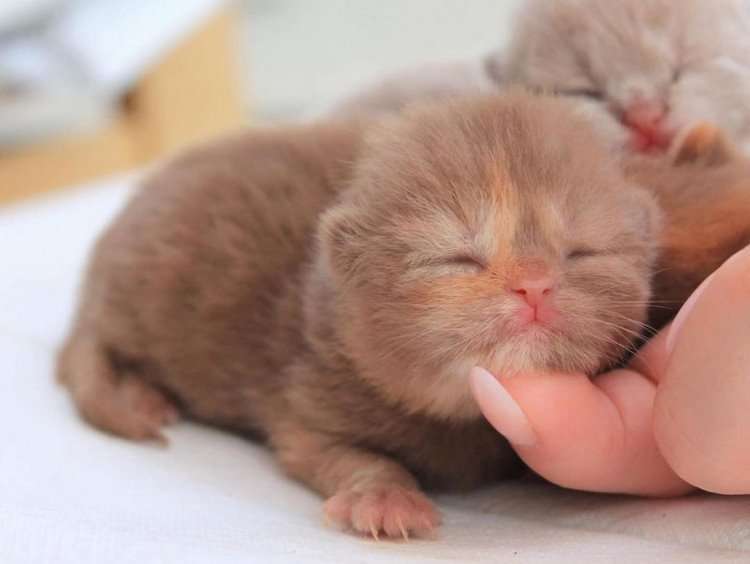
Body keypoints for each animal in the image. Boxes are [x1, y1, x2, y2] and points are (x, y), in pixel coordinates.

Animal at [57, 93, 660, 539]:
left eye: (583, 252)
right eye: (457, 258)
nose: (534, 285)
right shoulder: (307, 394)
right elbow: (335, 453)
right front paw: (387, 499)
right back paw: (137, 395)